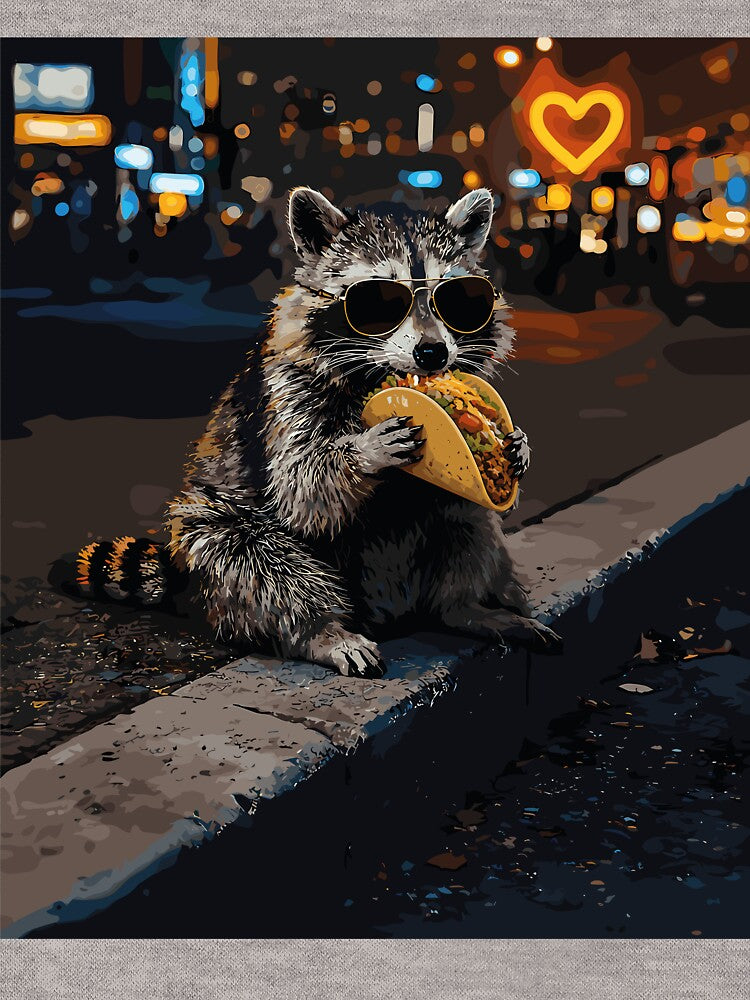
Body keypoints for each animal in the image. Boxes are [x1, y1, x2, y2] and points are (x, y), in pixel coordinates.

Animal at [77, 186, 558, 676]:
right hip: (219, 534)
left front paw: (518, 444)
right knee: (250, 555)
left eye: (458, 298)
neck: (374, 375)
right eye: (379, 300)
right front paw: (363, 453)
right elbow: (300, 488)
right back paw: (320, 630)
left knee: (466, 515)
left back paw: (465, 607)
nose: (432, 353)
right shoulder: (287, 390)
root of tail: (390, 610)